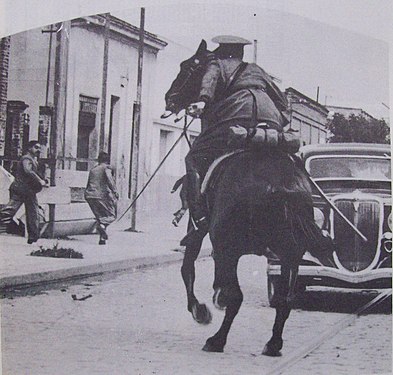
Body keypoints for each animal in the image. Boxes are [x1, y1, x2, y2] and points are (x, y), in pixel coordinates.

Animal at [163, 41, 334, 358]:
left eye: (188, 66)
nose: (170, 98)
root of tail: (282, 187)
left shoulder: (200, 228)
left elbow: (188, 266)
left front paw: (200, 309)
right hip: (289, 254)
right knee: (284, 300)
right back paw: (273, 343)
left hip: (230, 244)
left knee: (238, 297)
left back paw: (217, 339)